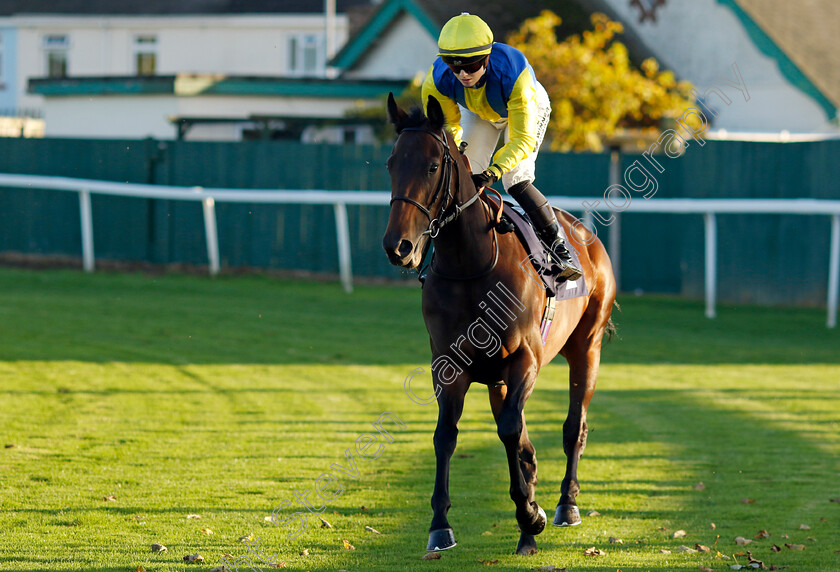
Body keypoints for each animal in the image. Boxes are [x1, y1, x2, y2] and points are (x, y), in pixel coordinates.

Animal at [382, 94, 616, 556]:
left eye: (432, 166)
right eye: (391, 163)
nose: (398, 246)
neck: (470, 264)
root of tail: (586, 236)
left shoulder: (524, 358)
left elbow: (511, 431)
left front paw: (530, 513)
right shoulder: (449, 364)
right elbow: (447, 435)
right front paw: (440, 526)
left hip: (588, 347)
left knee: (573, 428)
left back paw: (564, 506)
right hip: (499, 379)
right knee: (523, 437)